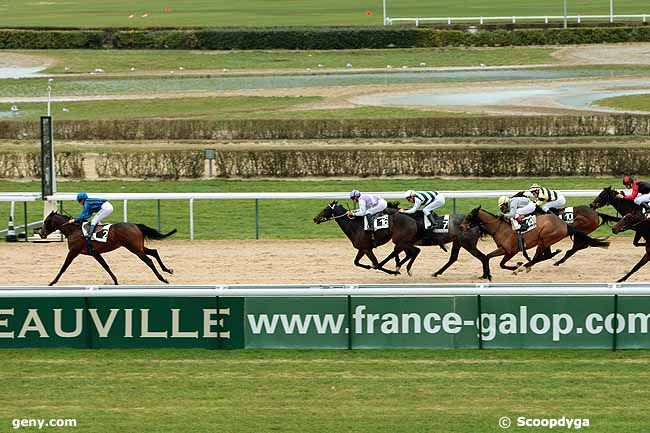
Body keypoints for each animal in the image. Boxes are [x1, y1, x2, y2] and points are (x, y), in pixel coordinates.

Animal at [41, 211, 177, 286]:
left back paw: (162, 278)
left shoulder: (73, 251)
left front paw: (52, 282)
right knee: (154, 252)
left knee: (148, 260)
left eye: (46, 221)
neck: (73, 230)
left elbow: (64, 267)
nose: (42, 233)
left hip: (135, 248)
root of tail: (135, 225)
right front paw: (115, 281)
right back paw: (168, 270)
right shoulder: (95, 253)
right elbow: (105, 266)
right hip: (139, 246)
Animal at [458, 207, 604, 274]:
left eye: (470, 216)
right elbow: (489, 257)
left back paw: (524, 266)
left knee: (538, 257)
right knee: (545, 255)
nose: (461, 226)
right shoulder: (504, 249)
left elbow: (501, 263)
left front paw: (516, 266)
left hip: (545, 239)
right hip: (546, 241)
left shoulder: (510, 251)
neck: (499, 228)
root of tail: (564, 224)